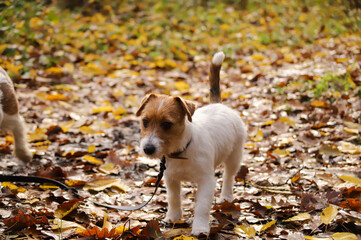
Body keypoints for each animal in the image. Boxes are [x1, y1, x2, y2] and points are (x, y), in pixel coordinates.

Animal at [136, 52, 246, 234]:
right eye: (145, 122)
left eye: (167, 124)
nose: (148, 149)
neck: (181, 151)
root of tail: (218, 104)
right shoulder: (171, 178)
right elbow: (173, 199)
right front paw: (173, 218)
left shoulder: (206, 181)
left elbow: (201, 207)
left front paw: (200, 228)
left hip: (234, 156)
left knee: (229, 176)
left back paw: (226, 196)